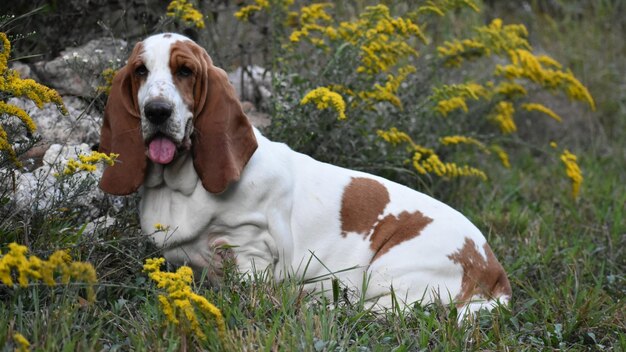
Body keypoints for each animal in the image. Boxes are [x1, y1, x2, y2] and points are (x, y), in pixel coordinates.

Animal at [96, 32, 508, 314]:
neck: (182, 183)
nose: (157, 111)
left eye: (185, 71)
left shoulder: (250, 248)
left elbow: (247, 287)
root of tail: (493, 268)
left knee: (380, 310)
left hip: (386, 271)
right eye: (140, 71)